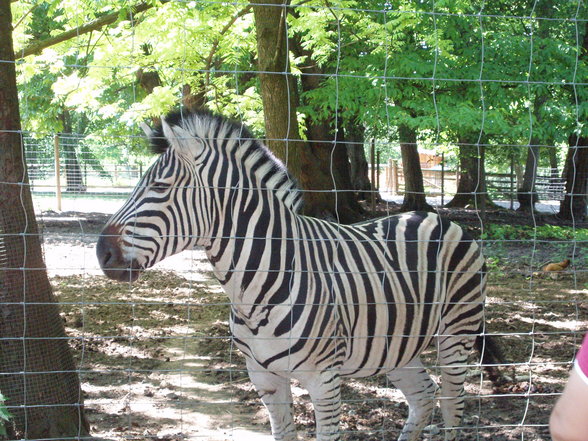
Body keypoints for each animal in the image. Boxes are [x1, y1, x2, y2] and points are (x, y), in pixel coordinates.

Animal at [96, 108, 490, 438]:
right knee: (424, 395)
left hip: (457, 331)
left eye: (160, 187)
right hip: (395, 345)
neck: (256, 287)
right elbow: (282, 433)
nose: (102, 253)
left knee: (453, 404)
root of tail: (435, 217)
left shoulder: (324, 379)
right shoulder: (263, 377)